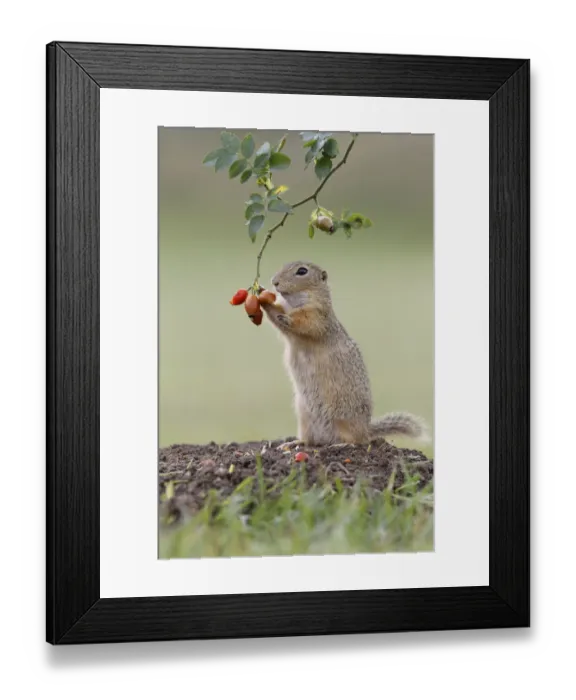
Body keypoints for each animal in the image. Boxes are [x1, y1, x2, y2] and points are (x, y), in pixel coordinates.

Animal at [259, 261, 429, 450]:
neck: (294, 303)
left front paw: (288, 318)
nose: (274, 282)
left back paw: (340, 445)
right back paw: (294, 443)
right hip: (304, 417)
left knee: (357, 440)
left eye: (302, 271)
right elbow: (276, 315)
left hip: (342, 417)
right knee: (311, 441)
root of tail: (366, 429)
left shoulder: (318, 316)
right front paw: (261, 296)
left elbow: (306, 324)